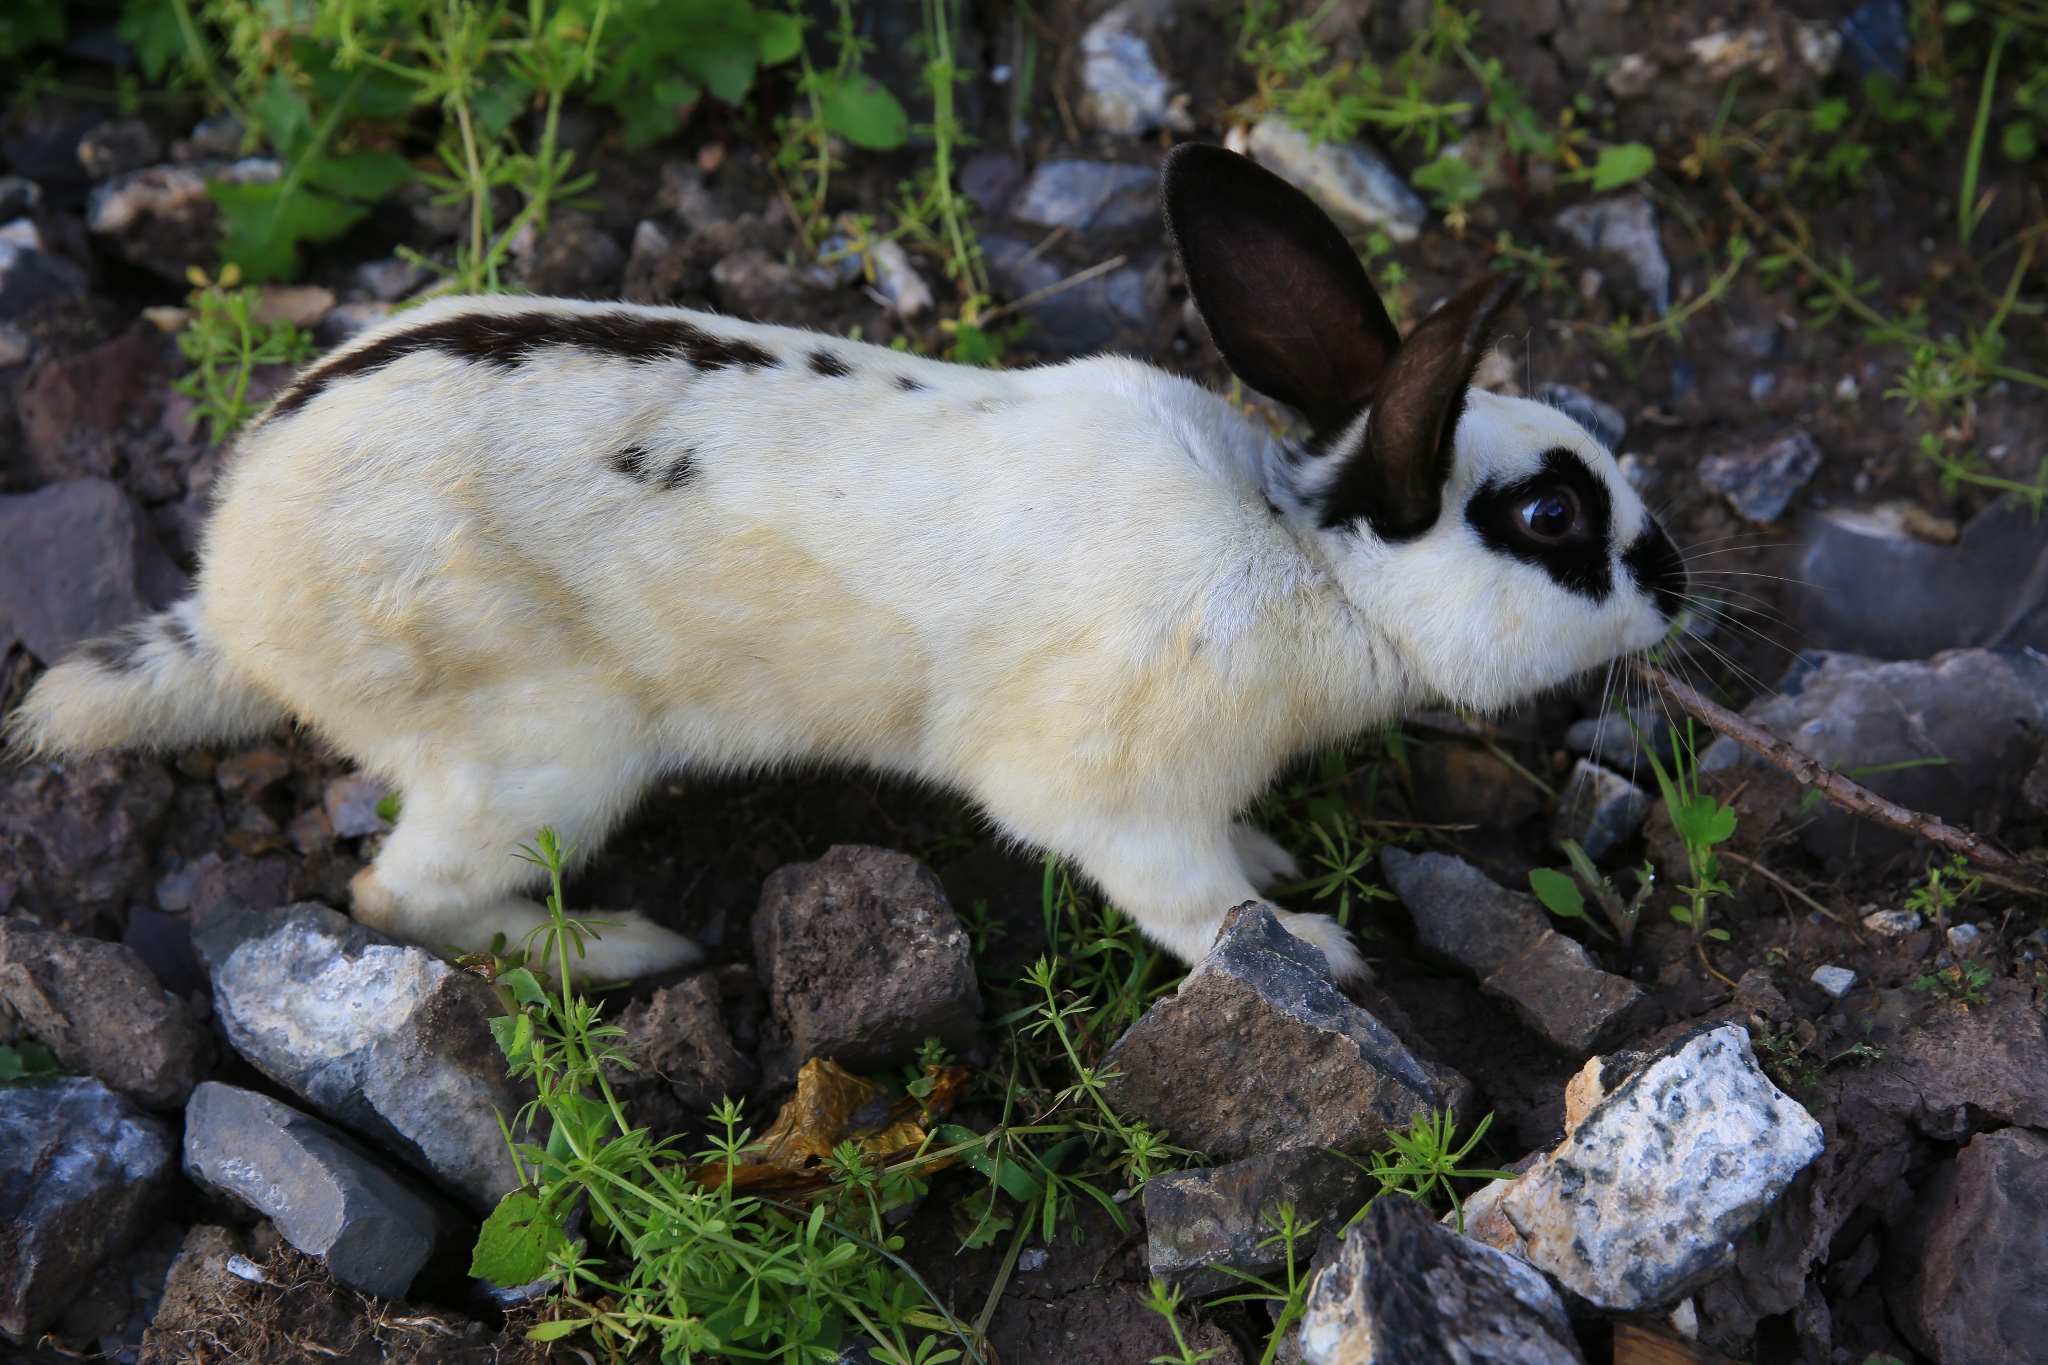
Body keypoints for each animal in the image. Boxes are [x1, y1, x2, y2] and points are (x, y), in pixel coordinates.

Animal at [8, 147, 1687, 982]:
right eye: (1552, 519)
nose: (1676, 579)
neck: (1313, 552)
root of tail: (235, 587)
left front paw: (1283, 867)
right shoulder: (1118, 796)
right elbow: (1192, 902)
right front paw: (1318, 949)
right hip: (544, 751)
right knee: (398, 899)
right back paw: (624, 951)